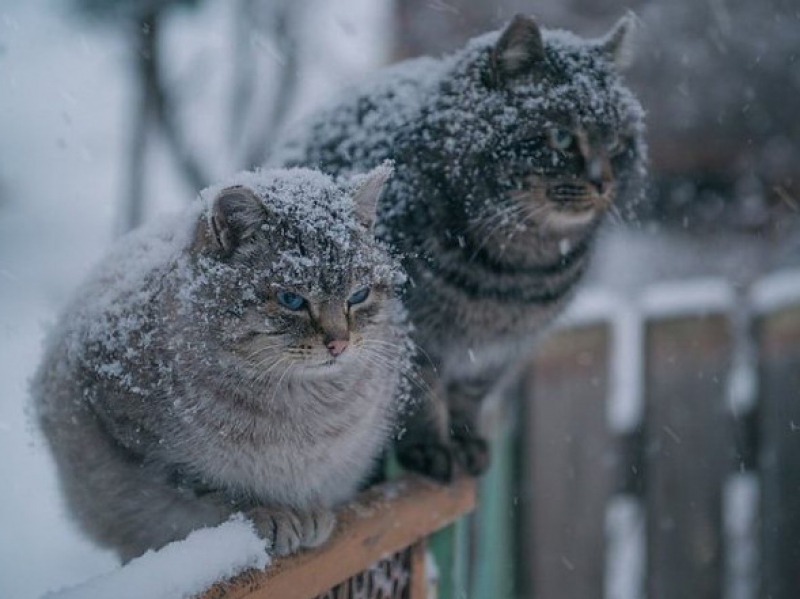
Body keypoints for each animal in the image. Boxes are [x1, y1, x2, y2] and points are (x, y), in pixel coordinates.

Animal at [31, 164, 410, 564]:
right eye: (291, 299)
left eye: (359, 295)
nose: (339, 343)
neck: (301, 405)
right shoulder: (140, 440)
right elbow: (215, 489)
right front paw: (272, 513)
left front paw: (308, 512)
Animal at [272, 15, 648, 482]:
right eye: (561, 137)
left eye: (615, 142)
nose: (604, 182)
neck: (517, 271)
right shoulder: (414, 335)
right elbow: (421, 397)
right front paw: (432, 449)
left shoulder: (500, 351)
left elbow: (470, 396)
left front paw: (467, 443)